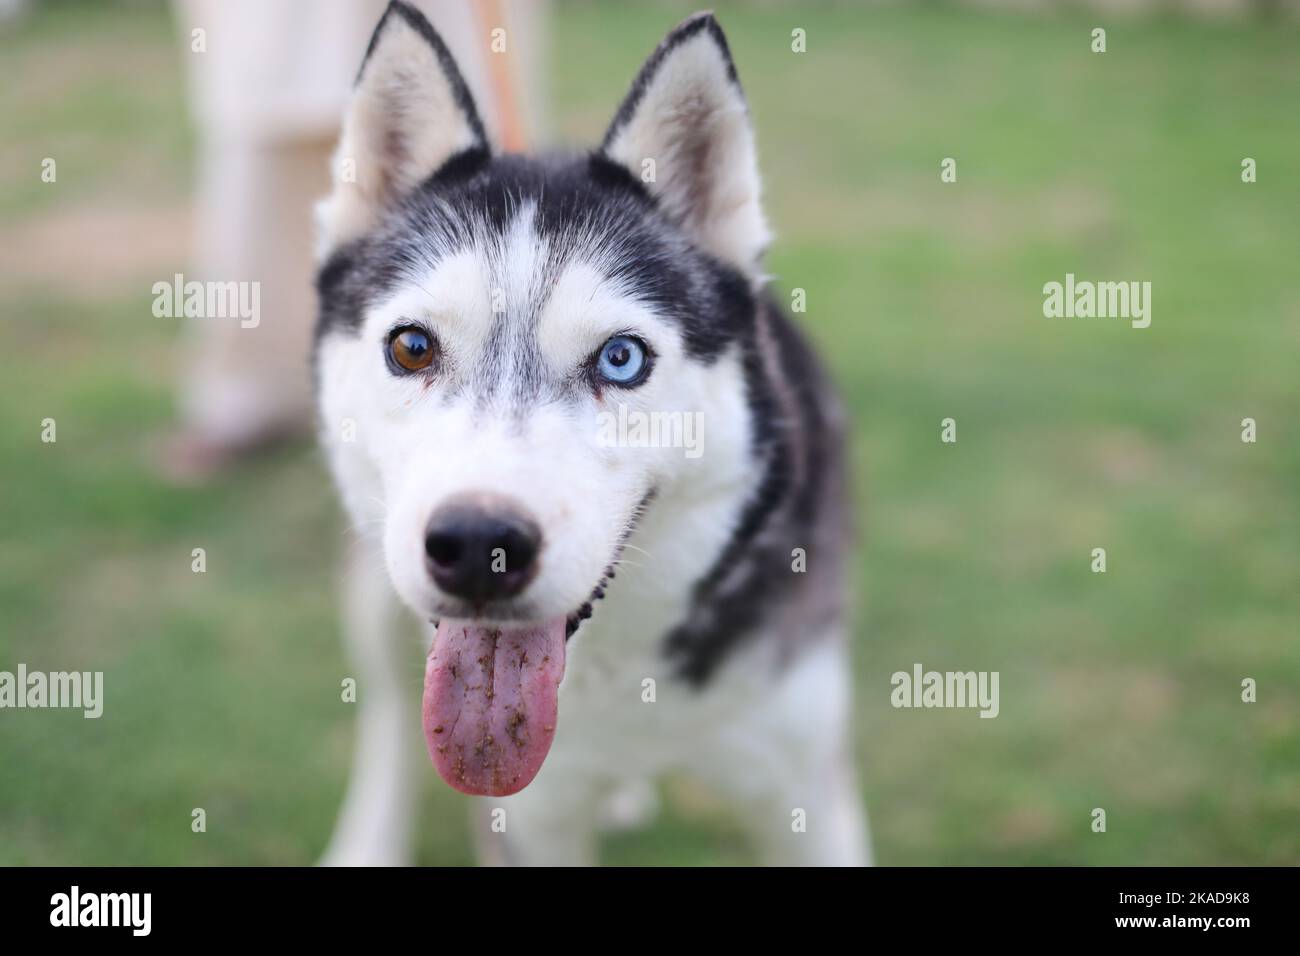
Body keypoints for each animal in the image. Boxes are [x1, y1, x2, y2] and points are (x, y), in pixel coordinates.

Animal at [309, 1, 868, 868]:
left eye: (621, 357)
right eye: (413, 347)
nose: (480, 544)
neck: (621, 672)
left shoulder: (803, 787)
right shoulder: (533, 818)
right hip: (375, 584)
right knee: (392, 717)